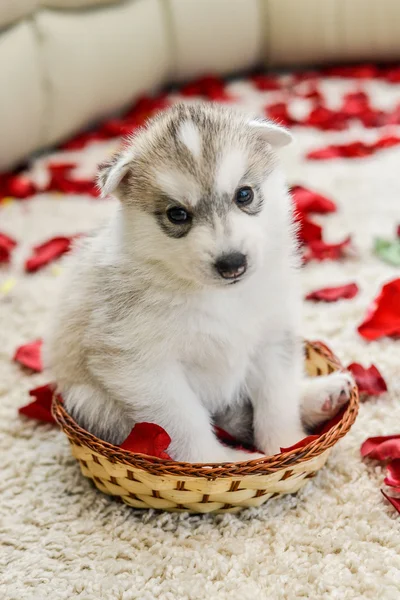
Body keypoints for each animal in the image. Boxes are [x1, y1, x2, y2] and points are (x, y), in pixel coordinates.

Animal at [44, 102, 354, 464]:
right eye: (177, 214)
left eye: (244, 194)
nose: (232, 263)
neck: (217, 297)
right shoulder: (142, 366)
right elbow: (184, 422)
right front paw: (219, 462)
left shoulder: (272, 336)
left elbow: (276, 400)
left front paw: (285, 446)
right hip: (91, 400)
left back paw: (323, 394)